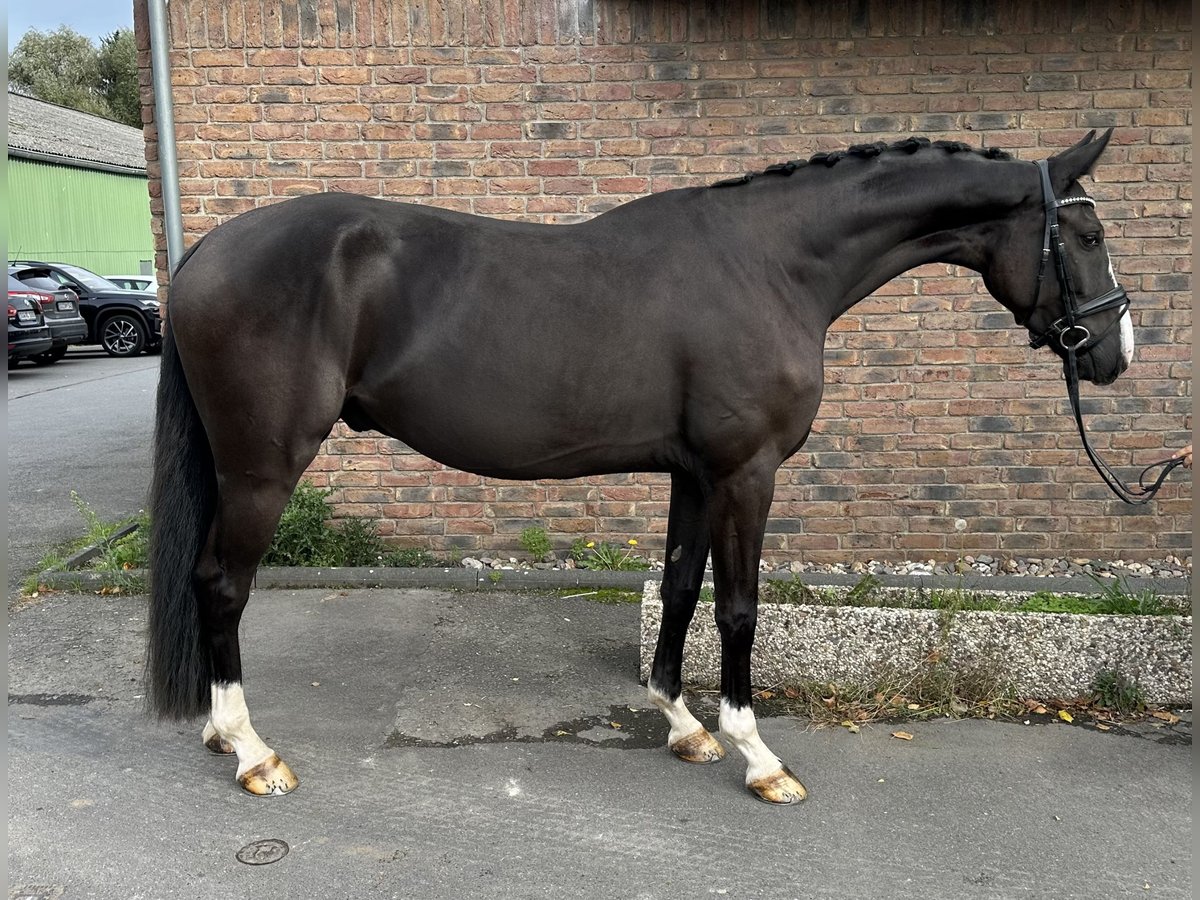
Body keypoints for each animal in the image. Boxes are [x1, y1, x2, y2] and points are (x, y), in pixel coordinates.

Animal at [150, 127, 1132, 801]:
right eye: (1085, 236)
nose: (1114, 353)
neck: (772, 265)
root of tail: (205, 251)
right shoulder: (747, 472)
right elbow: (738, 609)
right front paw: (760, 758)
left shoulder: (694, 473)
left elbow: (683, 588)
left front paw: (684, 726)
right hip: (264, 467)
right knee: (222, 585)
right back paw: (252, 751)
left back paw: (220, 736)